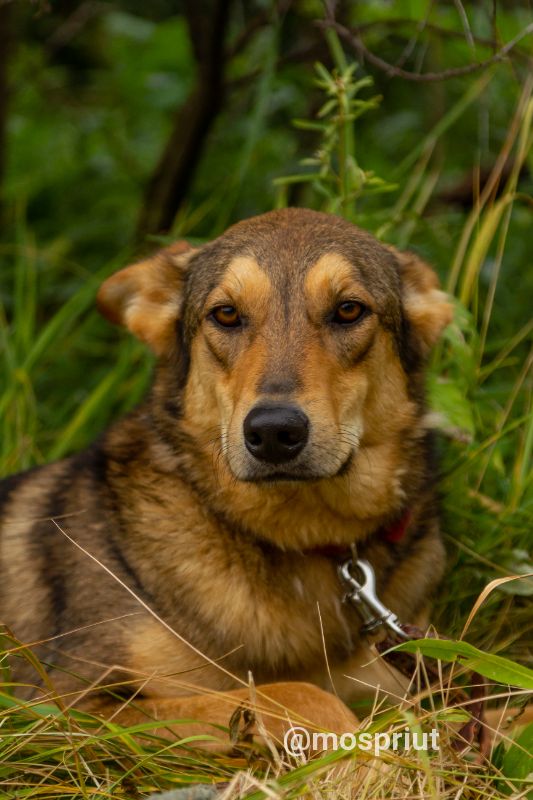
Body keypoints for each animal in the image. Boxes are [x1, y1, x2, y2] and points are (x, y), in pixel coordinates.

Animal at [0, 208, 450, 752]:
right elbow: (296, 694)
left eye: (348, 310)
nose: (274, 431)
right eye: (227, 314)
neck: (296, 540)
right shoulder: (58, 708)